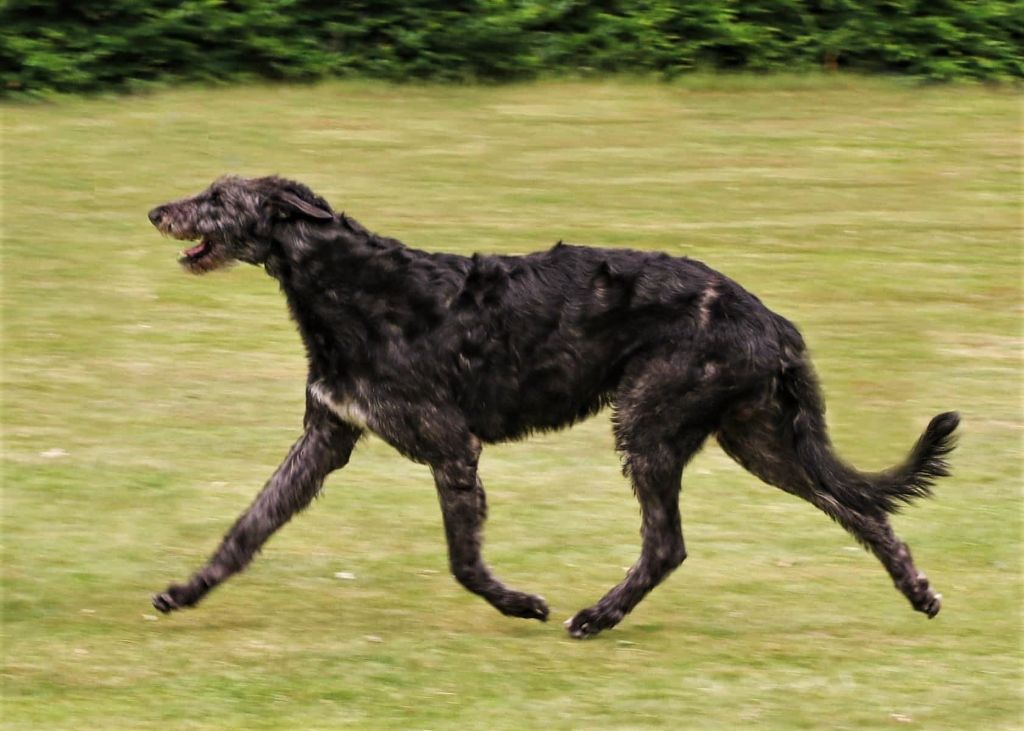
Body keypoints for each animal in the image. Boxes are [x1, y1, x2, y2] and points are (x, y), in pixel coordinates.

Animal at [148, 174, 954, 634]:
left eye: (217, 199)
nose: (156, 211)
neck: (347, 285)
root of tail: (772, 319)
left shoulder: (450, 445)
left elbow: (463, 559)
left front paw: (519, 603)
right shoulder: (326, 436)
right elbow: (248, 527)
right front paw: (186, 591)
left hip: (650, 419)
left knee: (668, 542)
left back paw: (597, 615)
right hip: (755, 435)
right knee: (858, 508)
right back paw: (917, 589)